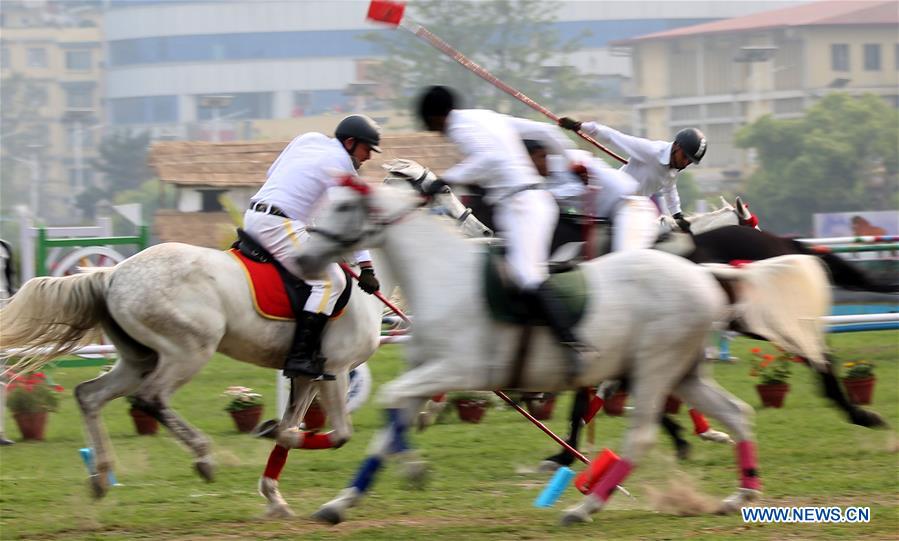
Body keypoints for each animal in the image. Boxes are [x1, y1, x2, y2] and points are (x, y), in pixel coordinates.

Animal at [294, 179, 772, 524]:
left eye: (342, 207)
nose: (303, 260)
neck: (444, 275)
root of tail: (702, 276)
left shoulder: (458, 369)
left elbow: (391, 400)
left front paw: (412, 469)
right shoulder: (427, 373)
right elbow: (389, 426)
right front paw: (341, 502)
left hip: (656, 367)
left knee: (642, 434)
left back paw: (584, 508)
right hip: (683, 371)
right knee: (738, 414)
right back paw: (740, 494)